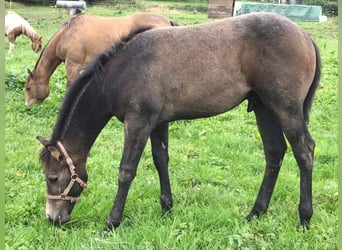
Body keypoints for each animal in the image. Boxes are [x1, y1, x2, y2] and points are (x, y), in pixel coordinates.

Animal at [24, 12, 176, 106]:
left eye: (28, 88)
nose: (28, 105)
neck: (66, 34)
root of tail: (167, 21)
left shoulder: (72, 64)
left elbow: (70, 86)